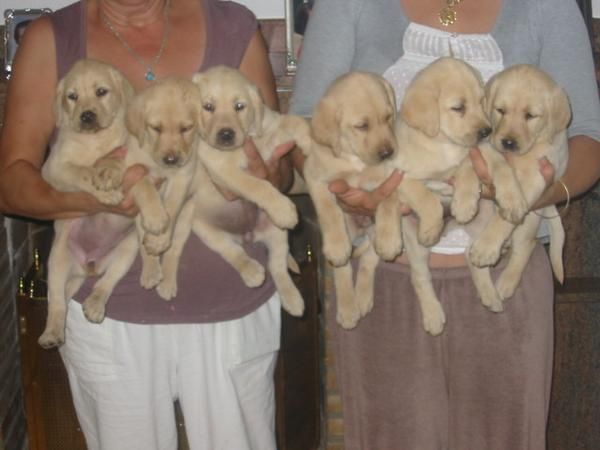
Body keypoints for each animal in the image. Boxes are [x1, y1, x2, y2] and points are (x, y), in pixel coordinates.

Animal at [39, 59, 135, 348]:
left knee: (106, 282)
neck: (95, 139)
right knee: (57, 302)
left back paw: (94, 305)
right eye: (72, 97)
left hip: (128, 249)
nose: (87, 116)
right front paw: (106, 191)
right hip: (56, 261)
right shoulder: (55, 167)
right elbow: (82, 172)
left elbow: (113, 159)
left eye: (101, 91)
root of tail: (86, 267)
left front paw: (109, 173)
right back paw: (51, 334)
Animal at [386, 57, 528, 334]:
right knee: (421, 277)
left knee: (472, 255)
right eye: (458, 107)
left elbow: (489, 170)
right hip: (414, 245)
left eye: (482, 101)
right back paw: (433, 315)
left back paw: (490, 295)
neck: (443, 144)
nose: (486, 131)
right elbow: (426, 197)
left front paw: (508, 200)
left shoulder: (483, 153)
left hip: (482, 223)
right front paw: (433, 223)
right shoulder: (399, 176)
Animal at [466, 64, 568, 302]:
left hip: (528, 223)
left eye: (530, 115)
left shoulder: (535, 176)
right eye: (500, 110)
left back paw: (505, 283)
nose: (508, 142)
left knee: (526, 247)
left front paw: (486, 247)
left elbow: (504, 218)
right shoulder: (488, 148)